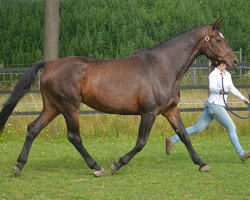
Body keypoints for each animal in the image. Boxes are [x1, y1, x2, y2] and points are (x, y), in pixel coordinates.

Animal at [0, 19, 238, 177]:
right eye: (218, 39)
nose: (234, 61)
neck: (162, 67)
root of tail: (49, 64)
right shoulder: (149, 112)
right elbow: (141, 142)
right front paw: (117, 164)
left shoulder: (170, 110)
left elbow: (185, 135)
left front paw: (202, 163)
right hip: (69, 107)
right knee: (74, 137)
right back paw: (97, 168)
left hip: (53, 107)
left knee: (33, 129)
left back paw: (19, 165)